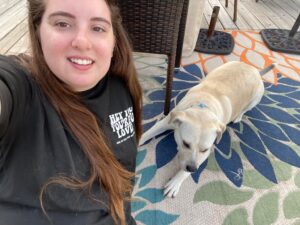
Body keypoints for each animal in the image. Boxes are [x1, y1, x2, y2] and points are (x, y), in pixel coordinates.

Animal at [139, 61, 276, 197]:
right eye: (186, 144)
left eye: (204, 150)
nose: (192, 169)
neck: (203, 107)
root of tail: (256, 70)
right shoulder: (165, 122)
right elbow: (146, 134)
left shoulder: (207, 152)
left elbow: (186, 171)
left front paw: (175, 182)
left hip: (255, 98)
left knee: (245, 109)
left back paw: (238, 116)